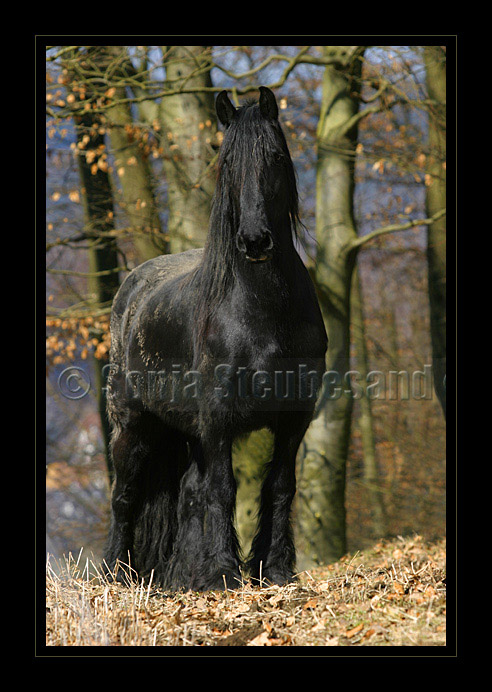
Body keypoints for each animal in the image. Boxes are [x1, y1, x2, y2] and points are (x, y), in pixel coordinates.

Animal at [104, 86, 326, 588]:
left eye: (275, 157)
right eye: (226, 163)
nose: (255, 240)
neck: (261, 314)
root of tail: (132, 290)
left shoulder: (294, 417)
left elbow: (279, 486)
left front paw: (274, 568)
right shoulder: (219, 419)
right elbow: (224, 489)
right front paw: (224, 572)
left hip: (187, 434)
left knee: (188, 492)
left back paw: (180, 576)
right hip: (133, 427)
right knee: (124, 497)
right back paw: (114, 576)